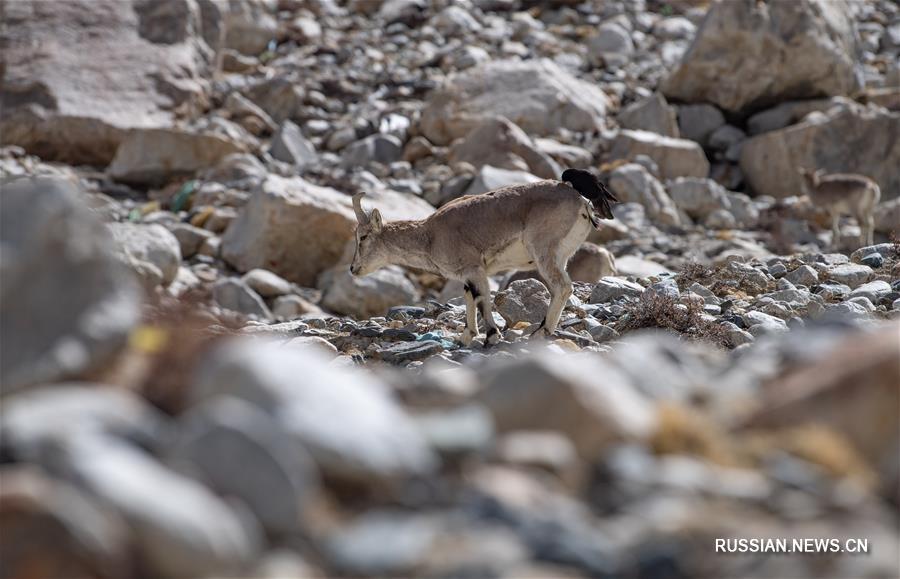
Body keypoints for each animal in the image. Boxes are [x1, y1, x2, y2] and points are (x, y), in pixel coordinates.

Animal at [350, 170, 620, 346]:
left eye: (362, 236)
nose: (353, 269)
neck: (430, 236)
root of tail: (579, 198)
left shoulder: (474, 268)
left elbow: (481, 298)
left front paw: (491, 336)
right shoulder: (468, 275)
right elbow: (470, 297)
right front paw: (467, 335)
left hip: (544, 249)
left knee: (562, 286)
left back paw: (540, 333)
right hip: (561, 254)